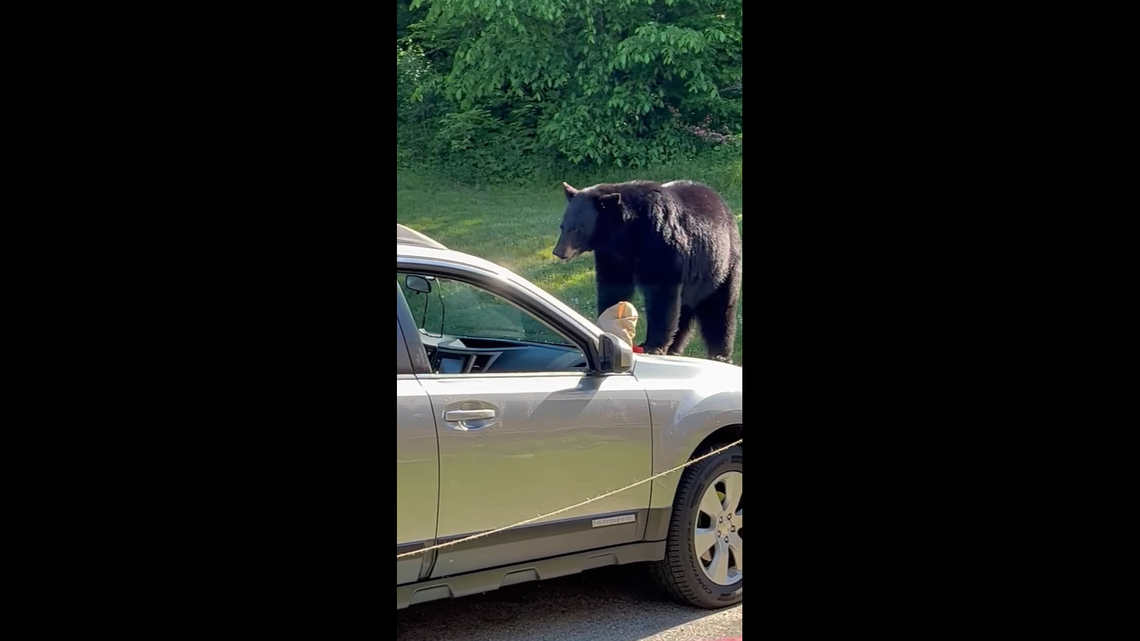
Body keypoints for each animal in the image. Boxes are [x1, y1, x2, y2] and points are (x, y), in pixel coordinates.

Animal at [553, 180, 742, 362]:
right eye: (562, 226)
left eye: (576, 229)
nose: (558, 252)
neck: (627, 233)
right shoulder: (611, 256)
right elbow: (613, 287)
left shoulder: (661, 242)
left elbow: (661, 294)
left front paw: (653, 345)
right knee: (684, 312)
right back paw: (674, 348)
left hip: (721, 265)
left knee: (719, 308)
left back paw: (719, 353)